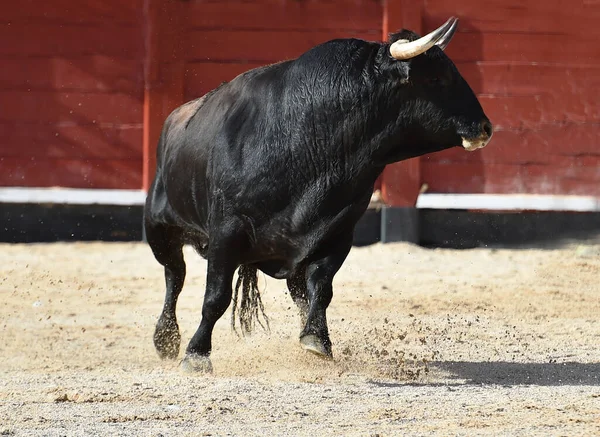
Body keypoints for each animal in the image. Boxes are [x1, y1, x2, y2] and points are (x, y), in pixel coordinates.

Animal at [144, 17, 492, 372]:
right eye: (436, 78)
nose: (484, 128)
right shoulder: (227, 232)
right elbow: (215, 297)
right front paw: (196, 355)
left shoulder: (336, 232)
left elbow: (321, 288)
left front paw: (316, 339)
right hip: (158, 227)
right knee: (175, 275)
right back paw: (166, 339)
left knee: (297, 291)